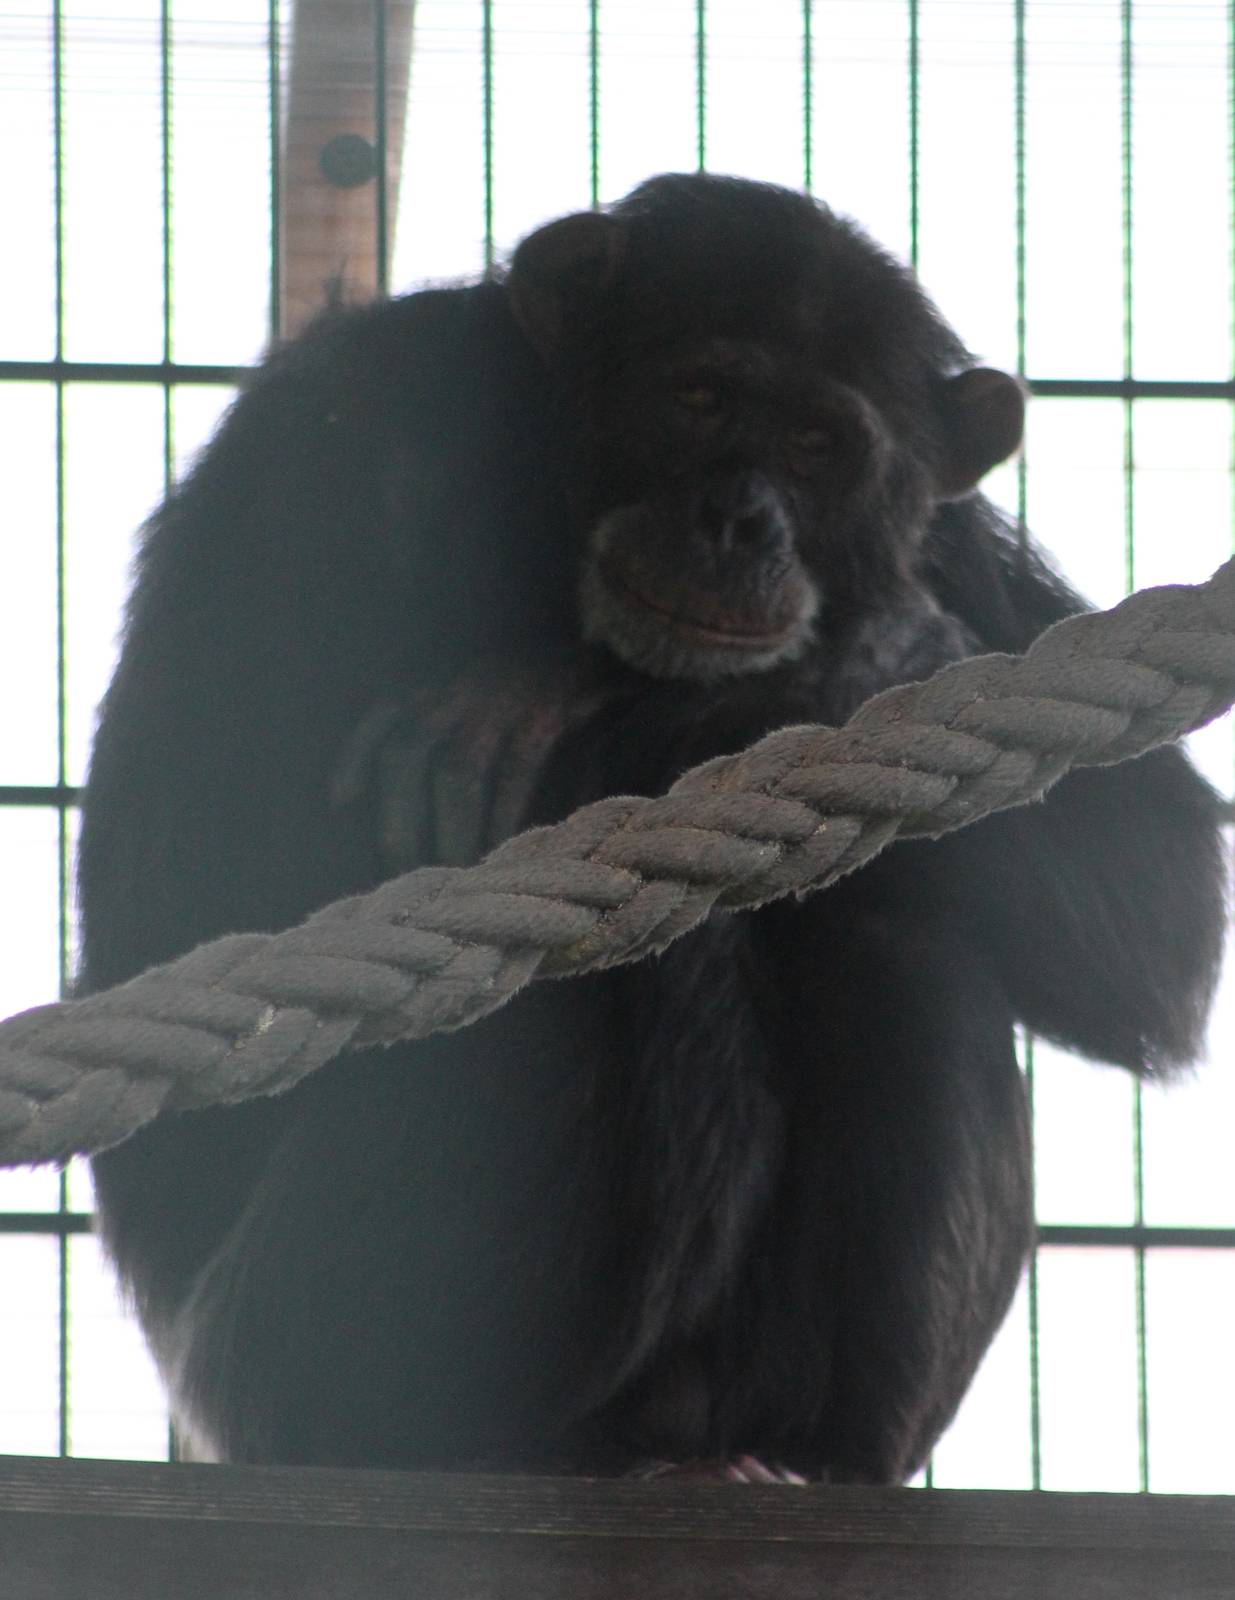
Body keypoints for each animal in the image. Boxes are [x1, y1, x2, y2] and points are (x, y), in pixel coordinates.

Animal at [78, 173, 1225, 1481]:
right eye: (698, 398)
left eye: (817, 446)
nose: (740, 518)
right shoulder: (333, 437)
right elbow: (218, 865)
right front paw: (553, 701)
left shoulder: (955, 538)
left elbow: (1157, 879)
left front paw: (833, 653)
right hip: (290, 1356)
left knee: (899, 918)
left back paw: (783, 1454)